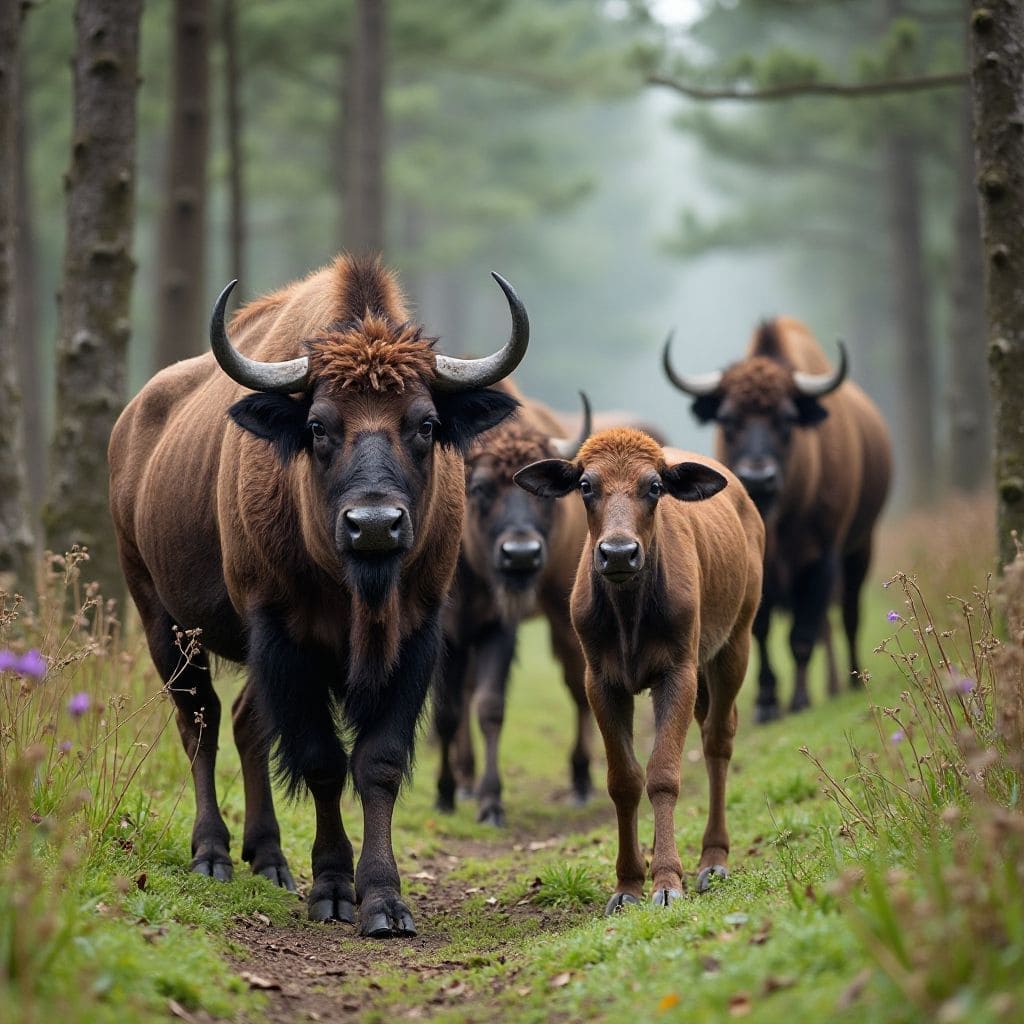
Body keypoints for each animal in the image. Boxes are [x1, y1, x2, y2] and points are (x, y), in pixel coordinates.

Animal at [108, 255, 529, 937]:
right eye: (317, 426)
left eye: (426, 423)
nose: (375, 524)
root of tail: (131, 423)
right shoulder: (285, 635)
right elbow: (321, 761)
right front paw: (332, 889)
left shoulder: (416, 636)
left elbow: (378, 762)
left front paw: (384, 899)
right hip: (161, 620)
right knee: (202, 724)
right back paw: (213, 854)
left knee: (247, 723)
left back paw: (269, 858)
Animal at [515, 429, 763, 910]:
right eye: (586, 485)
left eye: (654, 487)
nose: (618, 553)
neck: (629, 613)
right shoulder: (600, 681)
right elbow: (623, 779)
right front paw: (627, 885)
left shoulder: (677, 674)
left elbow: (663, 775)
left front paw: (667, 882)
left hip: (734, 644)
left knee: (719, 739)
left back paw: (713, 859)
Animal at [663, 317, 891, 721]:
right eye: (727, 418)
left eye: (787, 419)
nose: (758, 477)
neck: (781, 520)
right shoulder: (759, 567)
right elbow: (762, 630)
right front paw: (767, 702)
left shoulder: (821, 561)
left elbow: (801, 635)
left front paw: (798, 699)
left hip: (860, 548)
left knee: (849, 615)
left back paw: (849, 682)